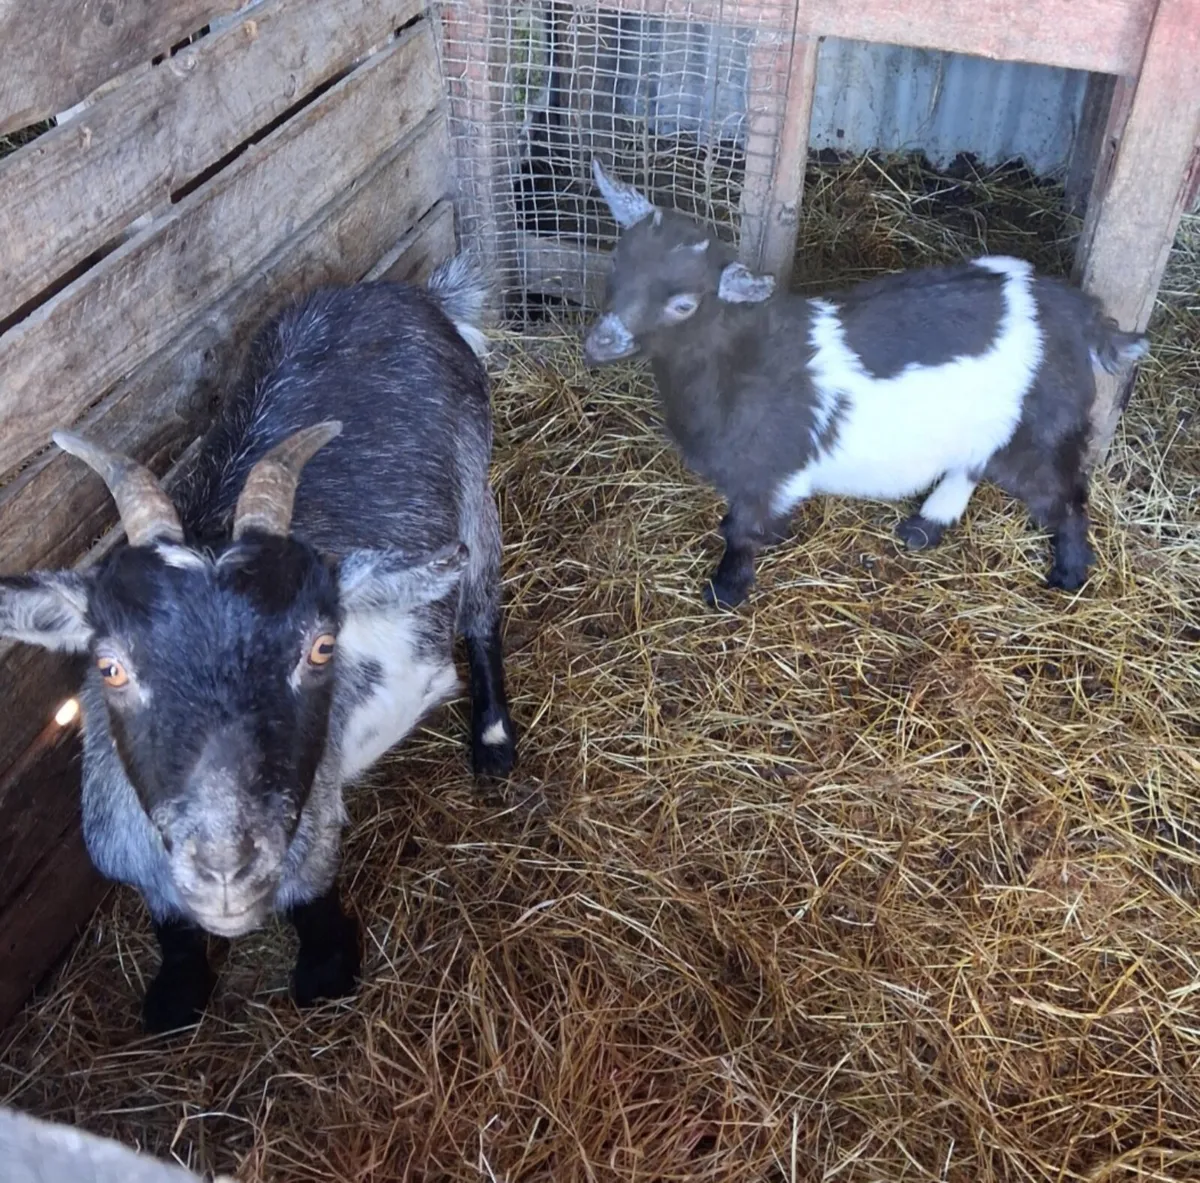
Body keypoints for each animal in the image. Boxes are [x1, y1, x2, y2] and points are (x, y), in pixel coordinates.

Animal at [0, 256, 517, 1033]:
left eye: (321, 648)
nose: (226, 859)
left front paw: (327, 967)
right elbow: (171, 933)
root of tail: (412, 295)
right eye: (110, 665)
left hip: (473, 489)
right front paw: (175, 992)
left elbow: (312, 898)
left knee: (481, 610)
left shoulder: (312, 826)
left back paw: (493, 742)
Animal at [584, 159, 1149, 608]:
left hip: (1041, 429)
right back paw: (925, 527)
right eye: (615, 262)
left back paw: (1069, 573)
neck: (744, 360)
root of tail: (1077, 313)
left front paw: (726, 591)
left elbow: (742, 531)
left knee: (1065, 495)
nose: (599, 342)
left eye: (683, 305)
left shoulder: (771, 474)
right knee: (973, 462)